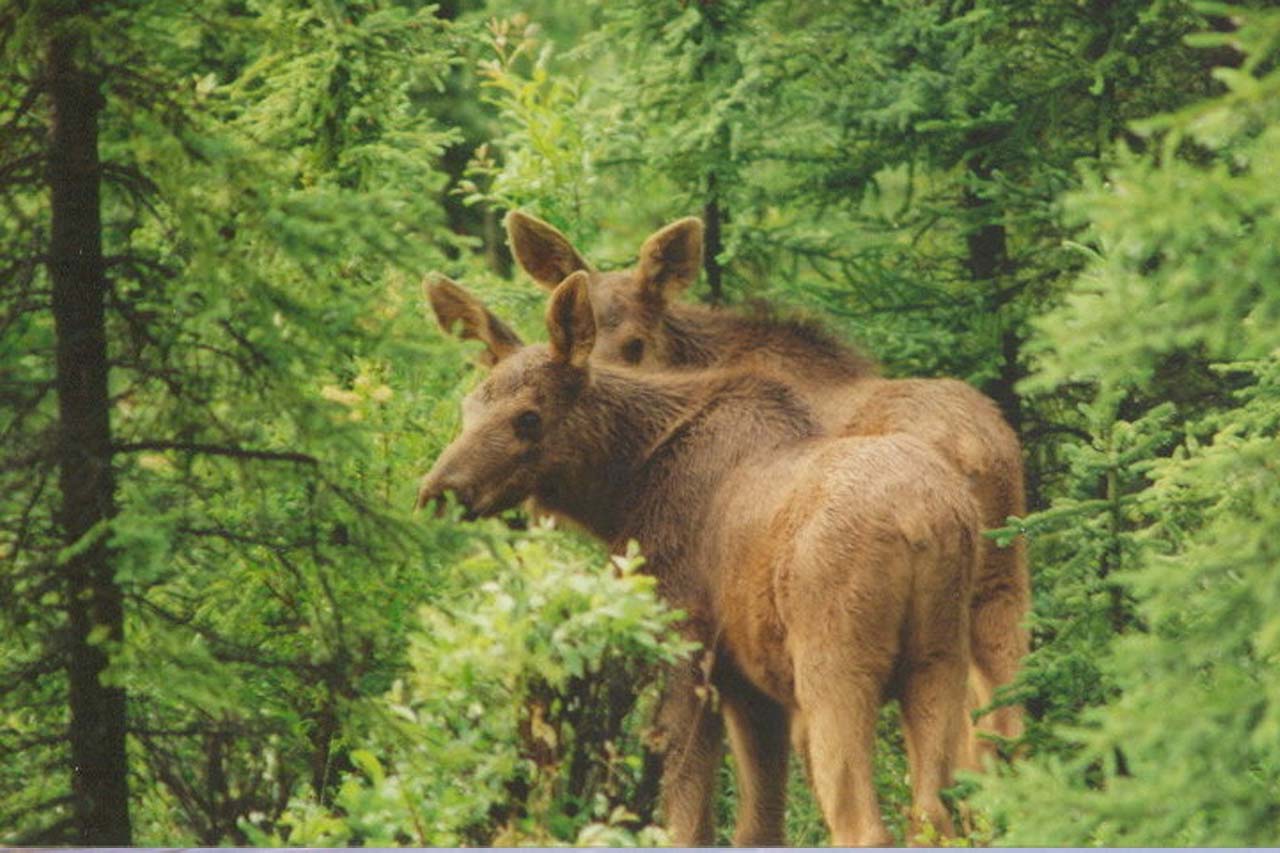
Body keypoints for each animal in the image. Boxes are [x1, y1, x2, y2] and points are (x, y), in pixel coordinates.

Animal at [419, 271, 981, 846]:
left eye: (529, 417)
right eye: (467, 408)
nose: (437, 492)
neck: (620, 495)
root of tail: (923, 524)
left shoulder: (687, 647)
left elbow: (687, 817)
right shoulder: (752, 687)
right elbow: (760, 826)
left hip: (836, 669)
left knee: (863, 824)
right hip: (941, 662)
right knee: (936, 814)